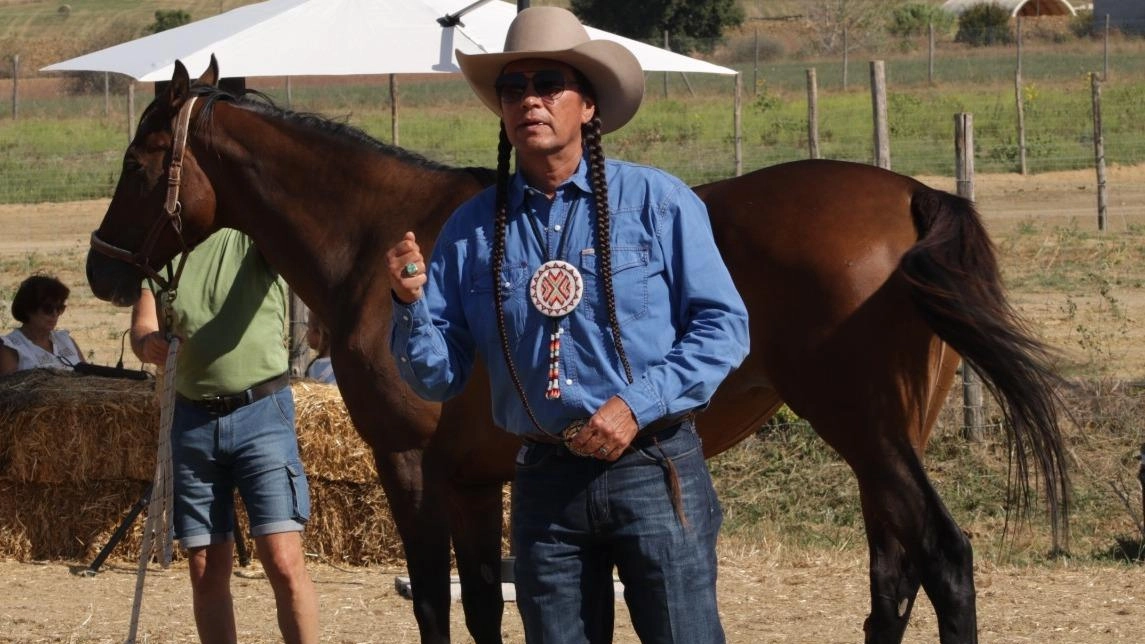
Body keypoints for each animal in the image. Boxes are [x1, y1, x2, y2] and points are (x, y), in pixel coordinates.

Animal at [87, 60, 1062, 641]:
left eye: (137, 160)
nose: (102, 265)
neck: (376, 239)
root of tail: (910, 197)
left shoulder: (410, 467)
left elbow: (436, 605)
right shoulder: (475, 479)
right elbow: (485, 605)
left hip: (862, 426)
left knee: (942, 557)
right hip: (886, 436)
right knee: (894, 571)